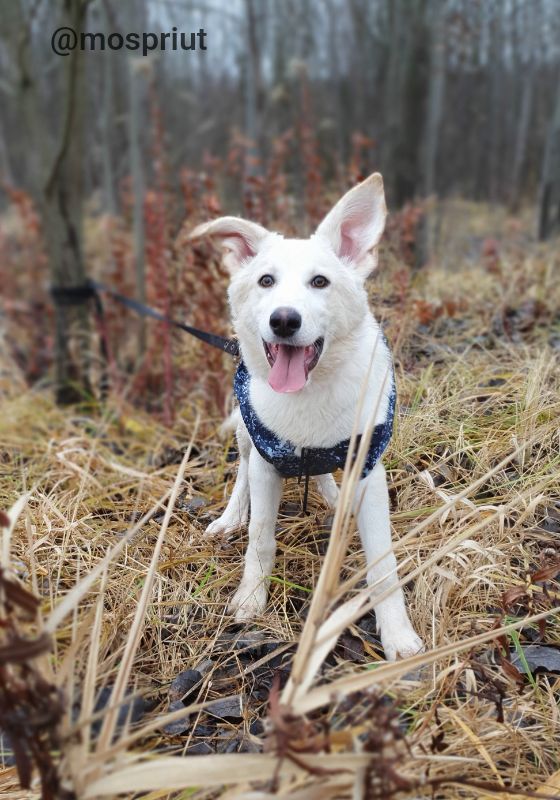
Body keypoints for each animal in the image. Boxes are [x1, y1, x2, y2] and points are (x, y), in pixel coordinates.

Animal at [188, 172, 420, 660]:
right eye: (266, 281)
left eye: (320, 281)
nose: (284, 321)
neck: (309, 392)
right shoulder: (266, 460)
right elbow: (260, 537)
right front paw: (250, 599)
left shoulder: (369, 470)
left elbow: (383, 564)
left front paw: (397, 635)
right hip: (245, 433)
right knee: (242, 473)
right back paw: (230, 517)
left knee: (321, 471)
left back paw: (331, 494)